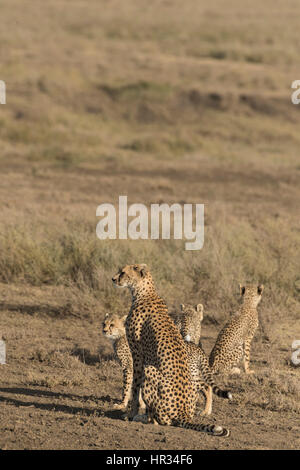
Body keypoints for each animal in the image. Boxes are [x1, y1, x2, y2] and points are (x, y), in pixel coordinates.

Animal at [111, 264, 229, 436]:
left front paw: (130, 413)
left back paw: (143, 418)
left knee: (161, 421)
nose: (113, 279)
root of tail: (184, 414)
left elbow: (134, 387)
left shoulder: (137, 355)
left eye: (123, 272)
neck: (143, 293)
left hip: (150, 369)